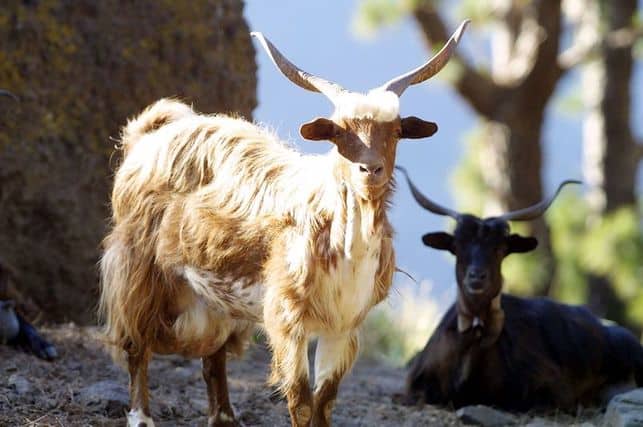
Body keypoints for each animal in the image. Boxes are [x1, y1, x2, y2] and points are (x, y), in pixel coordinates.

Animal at [99, 22, 469, 427]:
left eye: (396, 131)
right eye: (338, 133)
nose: (370, 169)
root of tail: (148, 136)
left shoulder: (344, 324)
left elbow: (325, 399)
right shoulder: (287, 317)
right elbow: (301, 400)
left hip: (214, 296)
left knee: (214, 356)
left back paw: (225, 416)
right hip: (138, 268)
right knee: (136, 342)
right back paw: (141, 415)